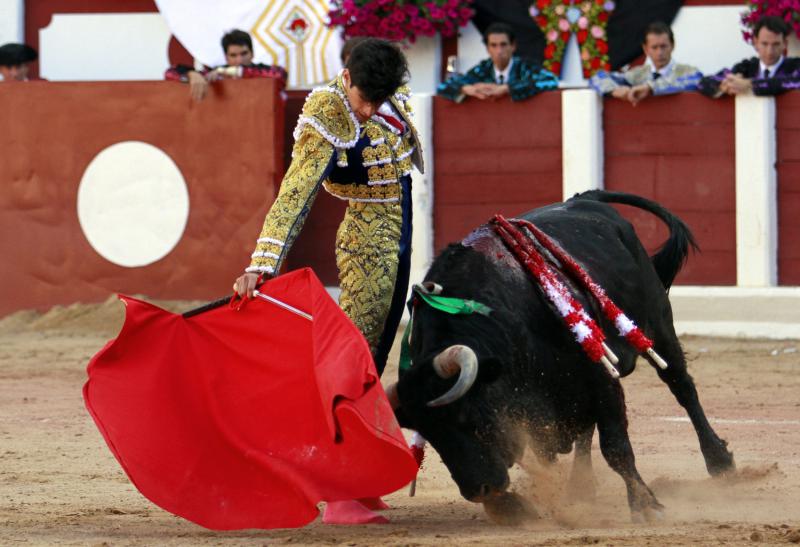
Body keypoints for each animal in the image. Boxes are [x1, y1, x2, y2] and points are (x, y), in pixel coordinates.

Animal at [387, 190, 735, 524]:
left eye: (466, 416)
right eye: (429, 434)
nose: (479, 490)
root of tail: (587, 198)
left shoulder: (598, 372)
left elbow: (615, 447)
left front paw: (646, 506)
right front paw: (513, 507)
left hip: (658, 325)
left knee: (681, 385)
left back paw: (719, 461)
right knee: (585, 429)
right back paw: (580, 486)